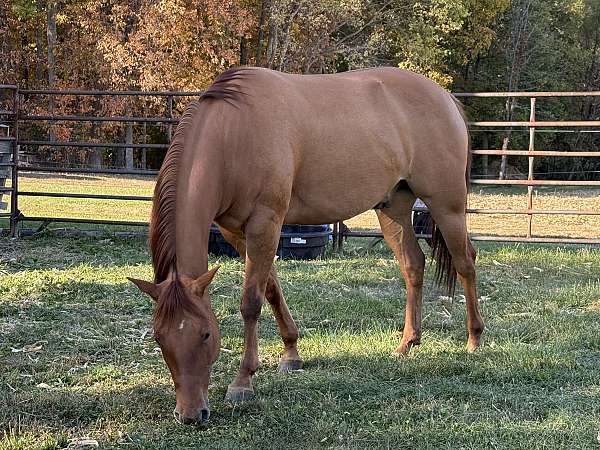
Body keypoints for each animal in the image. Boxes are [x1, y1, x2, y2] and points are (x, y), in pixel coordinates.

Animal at [129, 67, 486, 426]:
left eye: (205, 334)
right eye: (159, 337)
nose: (190, 414)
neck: (234, 133)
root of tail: (445, 98)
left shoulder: (266, 223)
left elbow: (251, 302)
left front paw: (243, 382)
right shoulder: (236, 231)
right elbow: (271, 291)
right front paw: (291, 354)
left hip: (447, 206)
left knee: (465, 262)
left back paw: (474, 339)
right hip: (394, 208)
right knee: (413, 264)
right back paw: (407, 344)